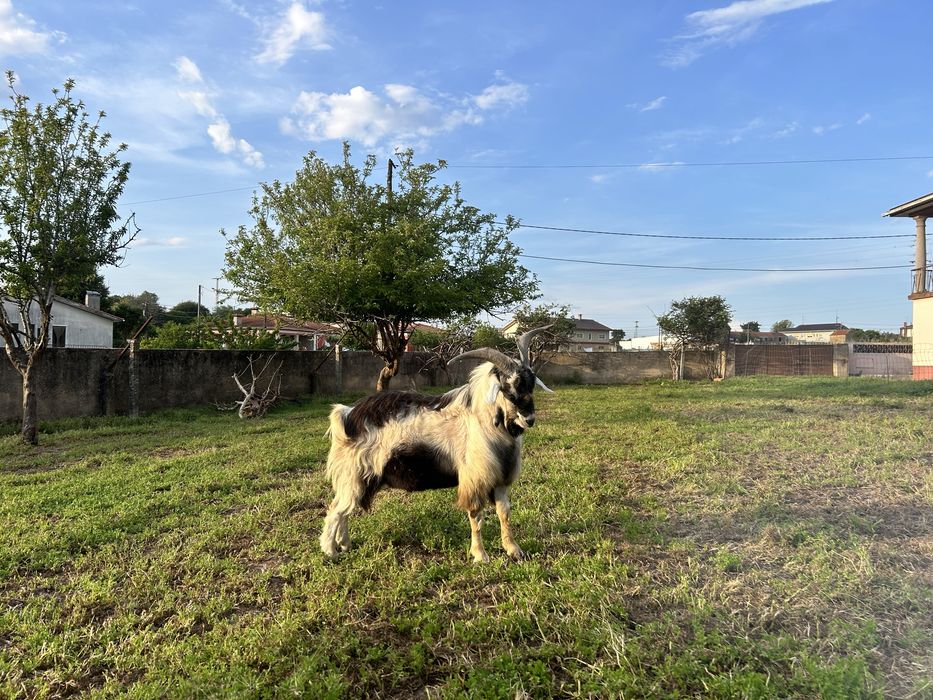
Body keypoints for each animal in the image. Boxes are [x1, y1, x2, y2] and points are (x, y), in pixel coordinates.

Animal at [319, 327, 553, 562]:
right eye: (508, 389)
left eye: (531, 385)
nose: (529, 419)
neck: (481, 419)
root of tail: (346, 415)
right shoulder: (475, 478)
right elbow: (476, 517)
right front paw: (480, 555)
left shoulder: (501, 479)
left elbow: (504, 513)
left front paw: (514, 549)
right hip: (353, 475)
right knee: (336, 511)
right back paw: (330, 551)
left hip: (359, 479)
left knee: (344, 511)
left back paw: (345, 544)